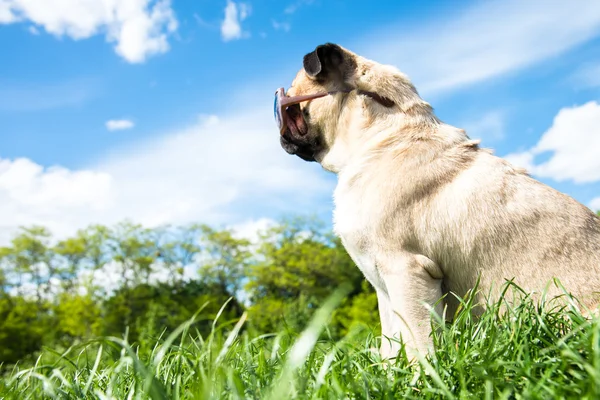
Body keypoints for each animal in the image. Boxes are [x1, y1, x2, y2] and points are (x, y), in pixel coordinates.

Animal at [276, 42, 600, 358]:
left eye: (289, 105)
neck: (382, 136)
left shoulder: (406, 271)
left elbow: (419, 342)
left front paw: (422, 374)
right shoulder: (384, 288)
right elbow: (390, 341)